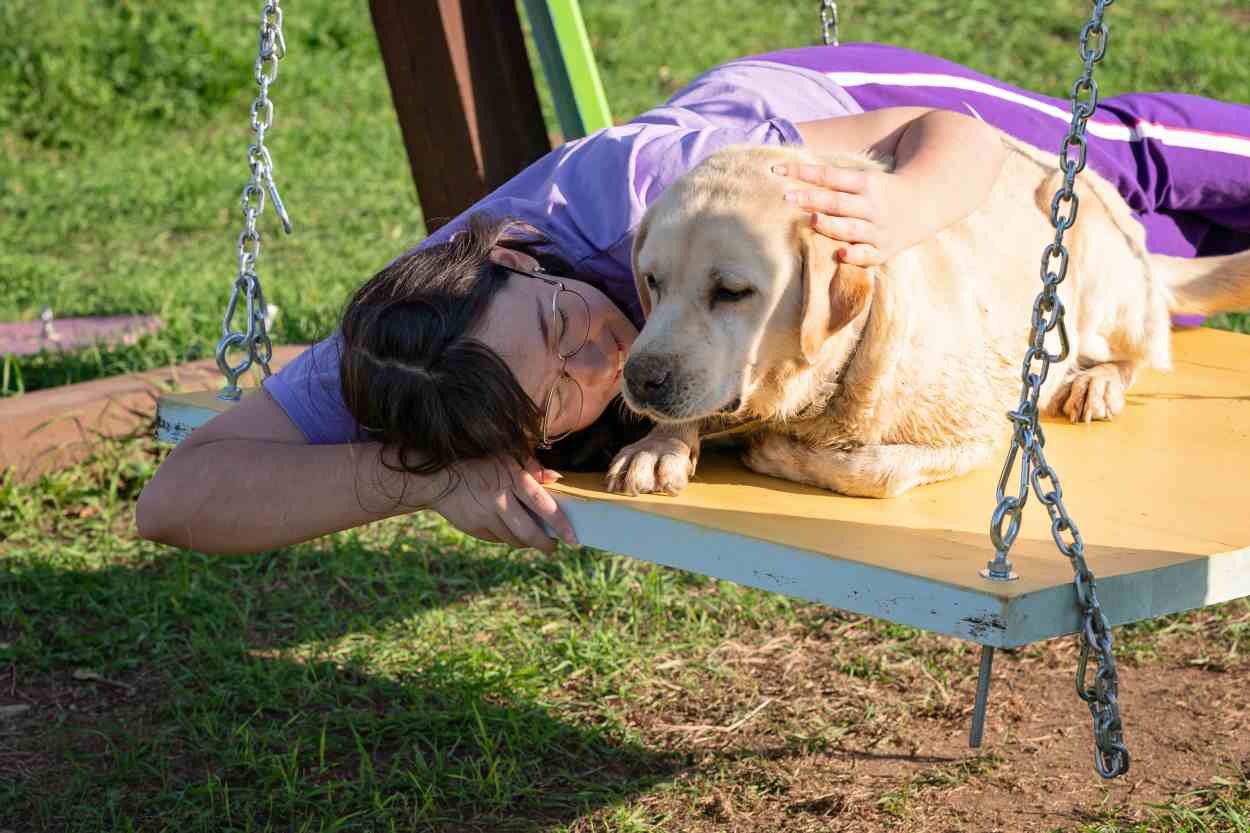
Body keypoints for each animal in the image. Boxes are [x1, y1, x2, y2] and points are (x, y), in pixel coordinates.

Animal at [605, 136, 1250, 495]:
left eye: (733, 291)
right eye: (652, 282)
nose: (639, 378)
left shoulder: (982, 433)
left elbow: (877, 471)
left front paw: (778, 454)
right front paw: (660, 447)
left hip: (1101, 267)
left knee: (1143, 349)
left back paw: (1098, 381)